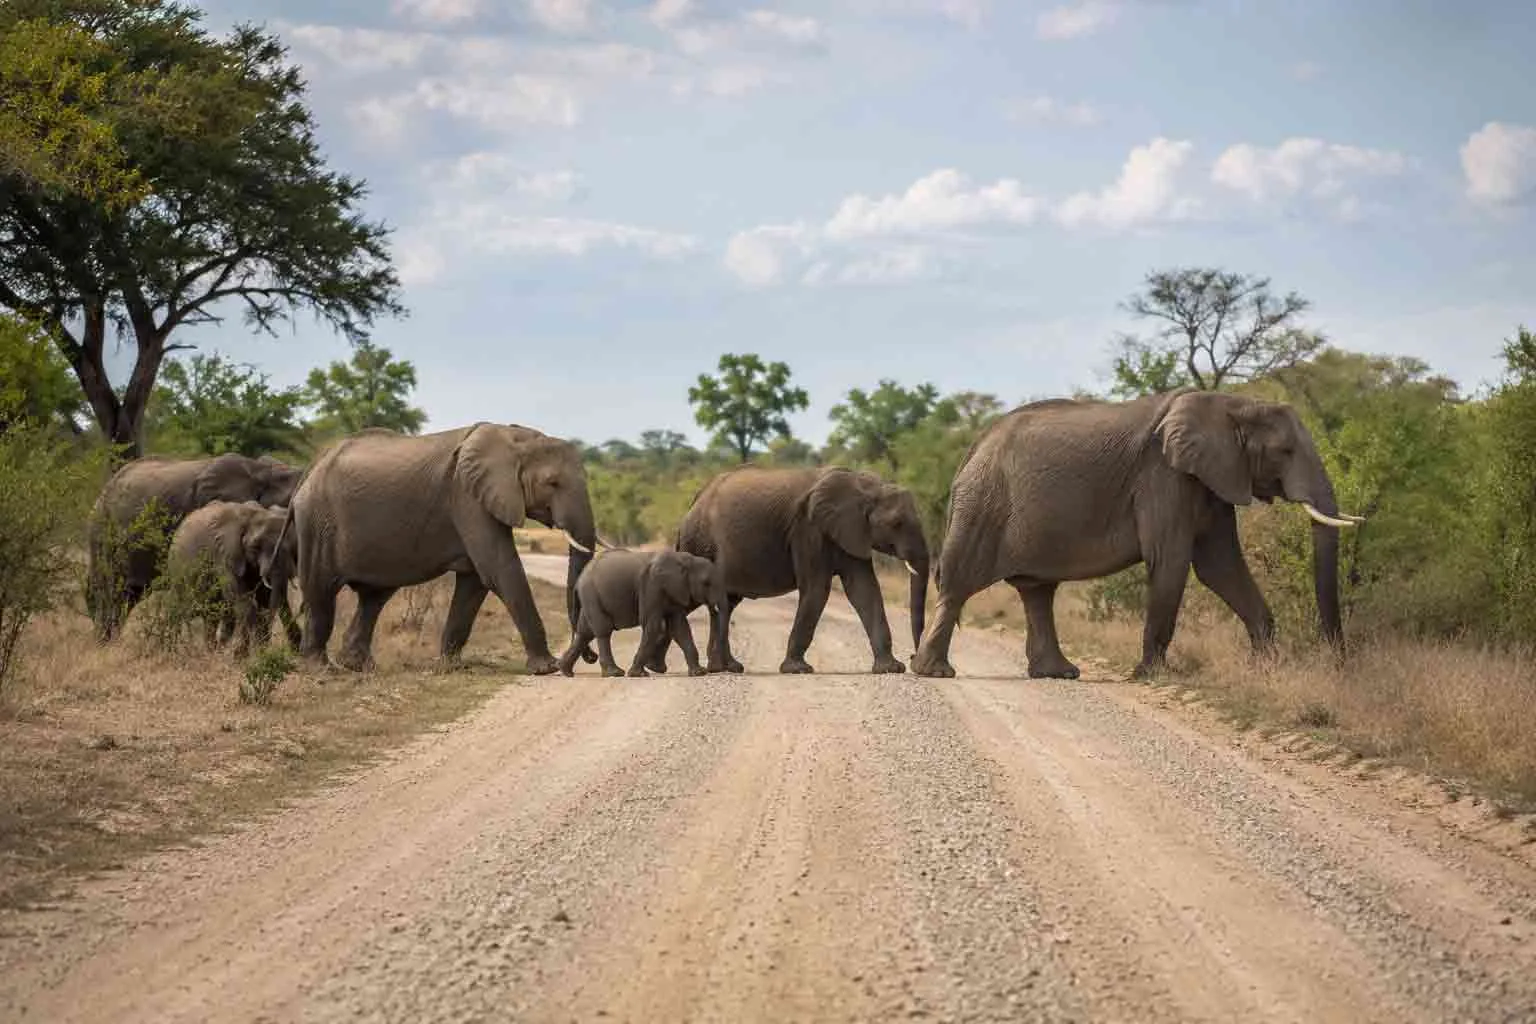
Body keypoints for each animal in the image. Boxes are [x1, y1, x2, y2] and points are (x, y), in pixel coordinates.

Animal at [165, 500, 301, 657]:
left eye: (293, 546)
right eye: (255, 546)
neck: (253, 516)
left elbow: (264, 599)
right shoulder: (223, 555)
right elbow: (243, 601)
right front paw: (255, 653)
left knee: (211, 618)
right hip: (177, 573)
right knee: (180, 610)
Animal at [287, 423, 597, 675]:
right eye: (552, 483)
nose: (589, 658)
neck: (516, 438)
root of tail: (310, 469)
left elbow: (475, 581)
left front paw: (452, 666)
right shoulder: (467, 496)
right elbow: (499, 569)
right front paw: (546, 668)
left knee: (374, 597)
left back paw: (358, 667)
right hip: (317, 523)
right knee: (320, 592)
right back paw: (322, 670)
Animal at [556, 549, 726, 678]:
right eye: (706, 583)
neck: (685, 560)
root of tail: (579, 580)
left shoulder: (674, 591)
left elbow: (680, 628)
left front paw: (699, 673)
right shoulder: (652, 586)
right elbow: (652, 626)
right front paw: (638, 674)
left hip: (590, 599)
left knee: (585, 633)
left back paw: (566, 671)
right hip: (592, 596)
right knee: (603, 631)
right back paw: (614, 673)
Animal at [675, 466, 930, 675]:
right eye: (896, 524)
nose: (913, 658)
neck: (863, 485)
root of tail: (694, 501)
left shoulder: (851, 532)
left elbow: (864, 589)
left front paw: (891, 668)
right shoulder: (808, 530)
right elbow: (817, 589)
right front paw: (797, 670)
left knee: (724, 604)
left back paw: (725, 668)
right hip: (701, 544)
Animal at [911, 389, 1364, 681]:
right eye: (1285, 452)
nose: (1339, 664)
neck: (1232, 402)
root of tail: (971, 449)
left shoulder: (1209, 479)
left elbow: (1219, 566)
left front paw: (1265, 669)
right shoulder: (1164, 475)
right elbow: (1172, 560)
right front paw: (1152, 675)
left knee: (1037, 591)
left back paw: (1059, 674)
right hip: (983, 507)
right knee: (959, 585)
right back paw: (935, 672)